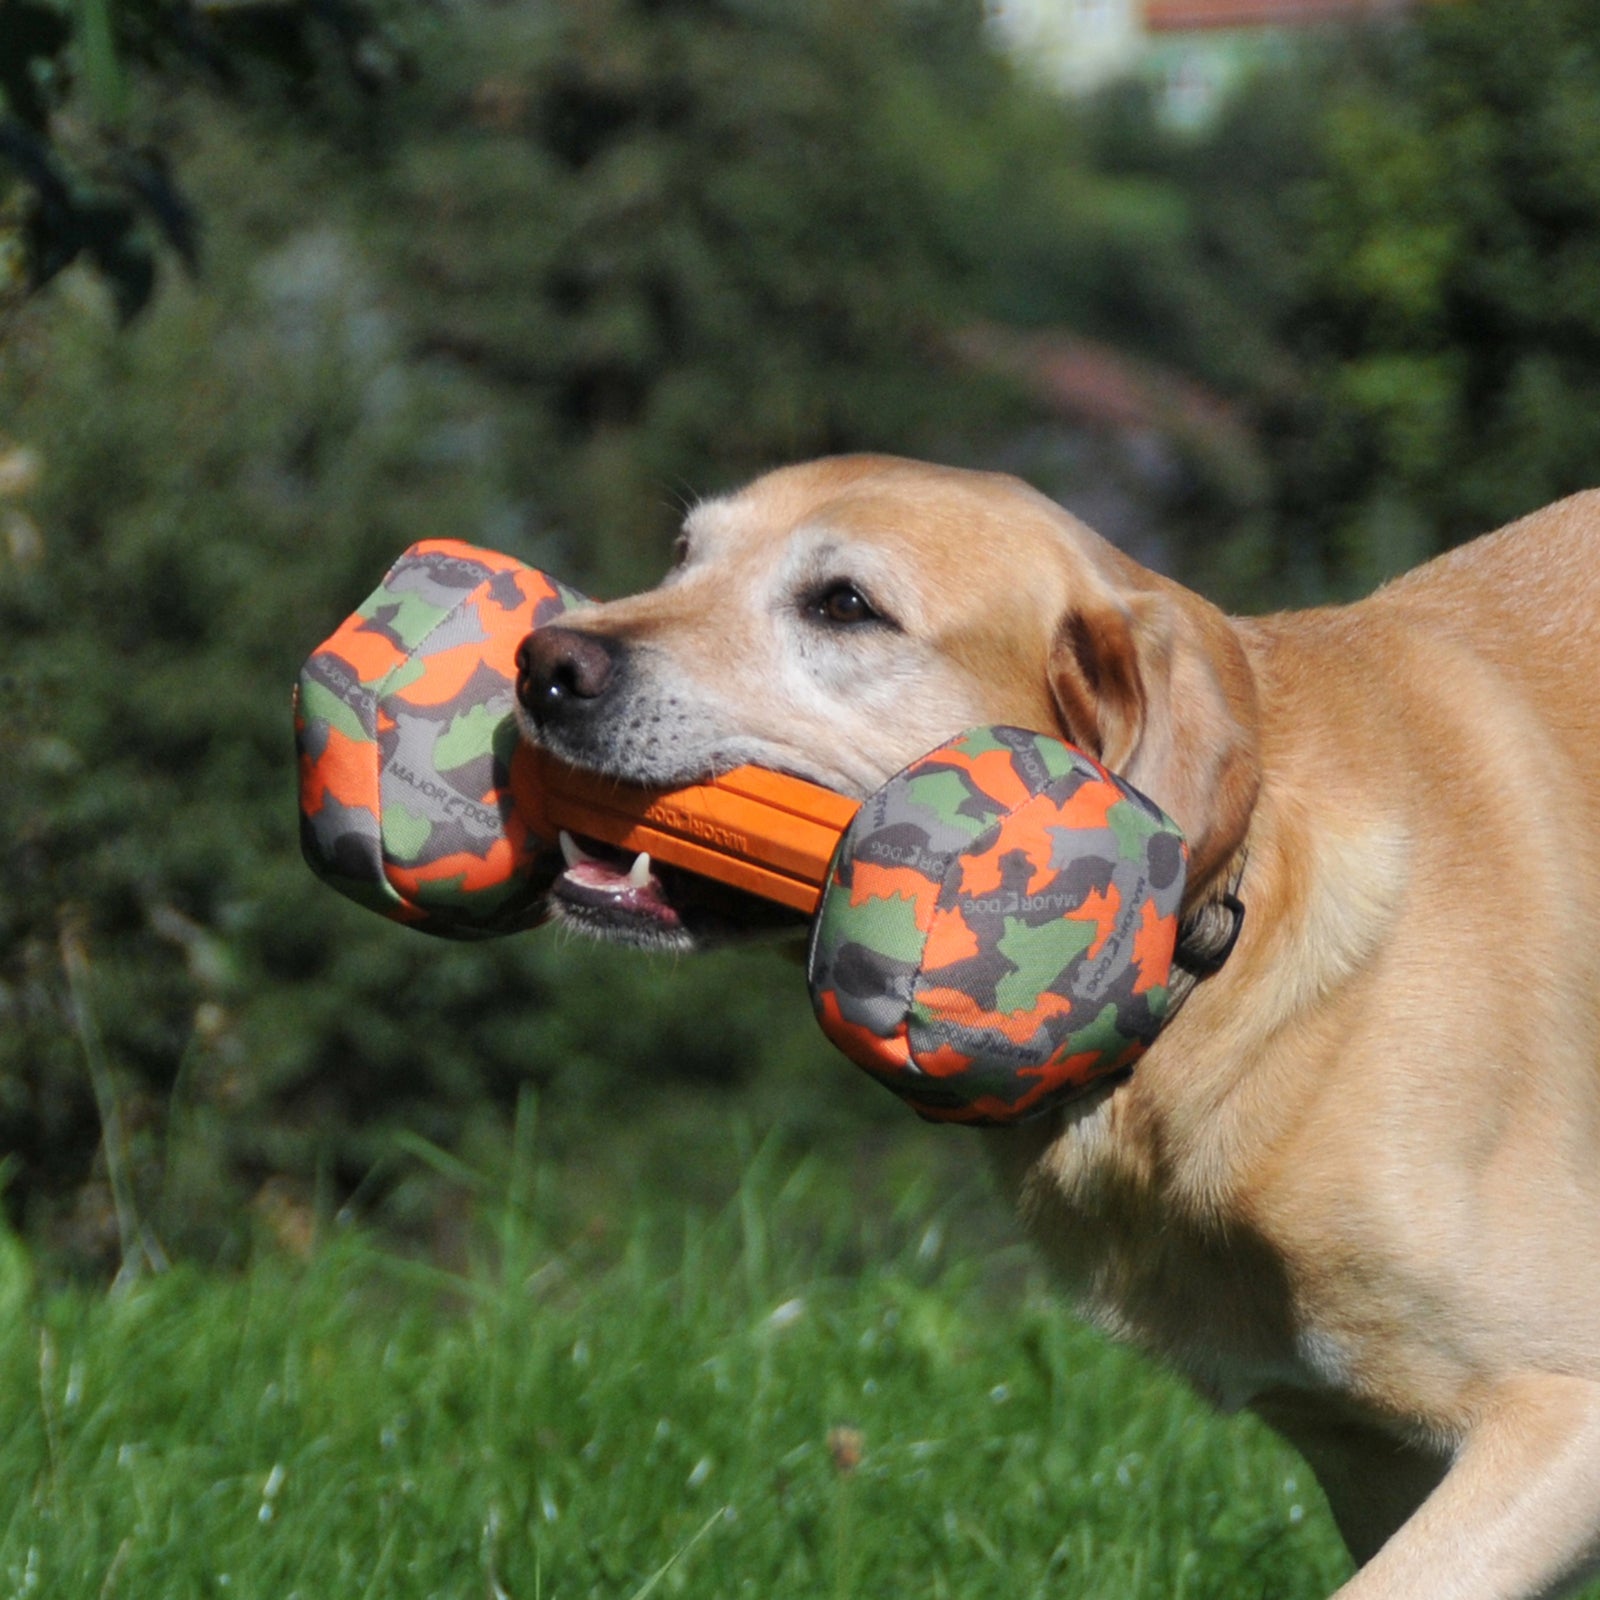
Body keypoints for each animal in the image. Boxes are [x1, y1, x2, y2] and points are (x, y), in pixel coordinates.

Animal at [515, 454, 1600, 1600]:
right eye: (683, 556)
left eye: (844, 605)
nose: (543, 664)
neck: (1228, 948)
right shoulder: (1368, 1459)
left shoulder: (1560, 1409)